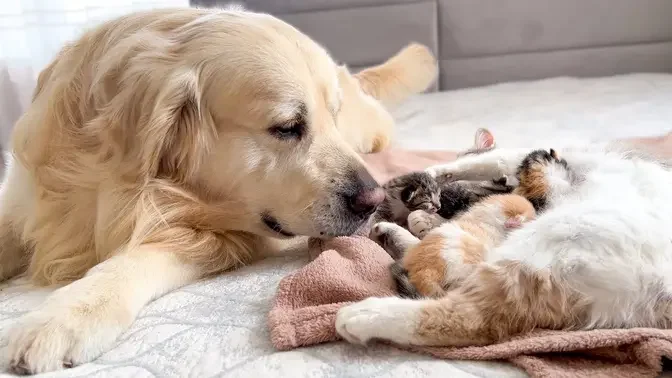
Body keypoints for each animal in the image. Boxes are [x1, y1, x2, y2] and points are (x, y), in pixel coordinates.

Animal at [0, 5, 438, 376]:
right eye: (286, 127)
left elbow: (140, 257)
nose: (373, 201)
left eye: (333, 118)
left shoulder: (224, 237)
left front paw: (66, 315)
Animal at [336, 141, 672, 346]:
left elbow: (490, 160)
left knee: (468, 317)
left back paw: (361, 316)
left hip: (548, 245)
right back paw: (391, 236)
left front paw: (431, 179)